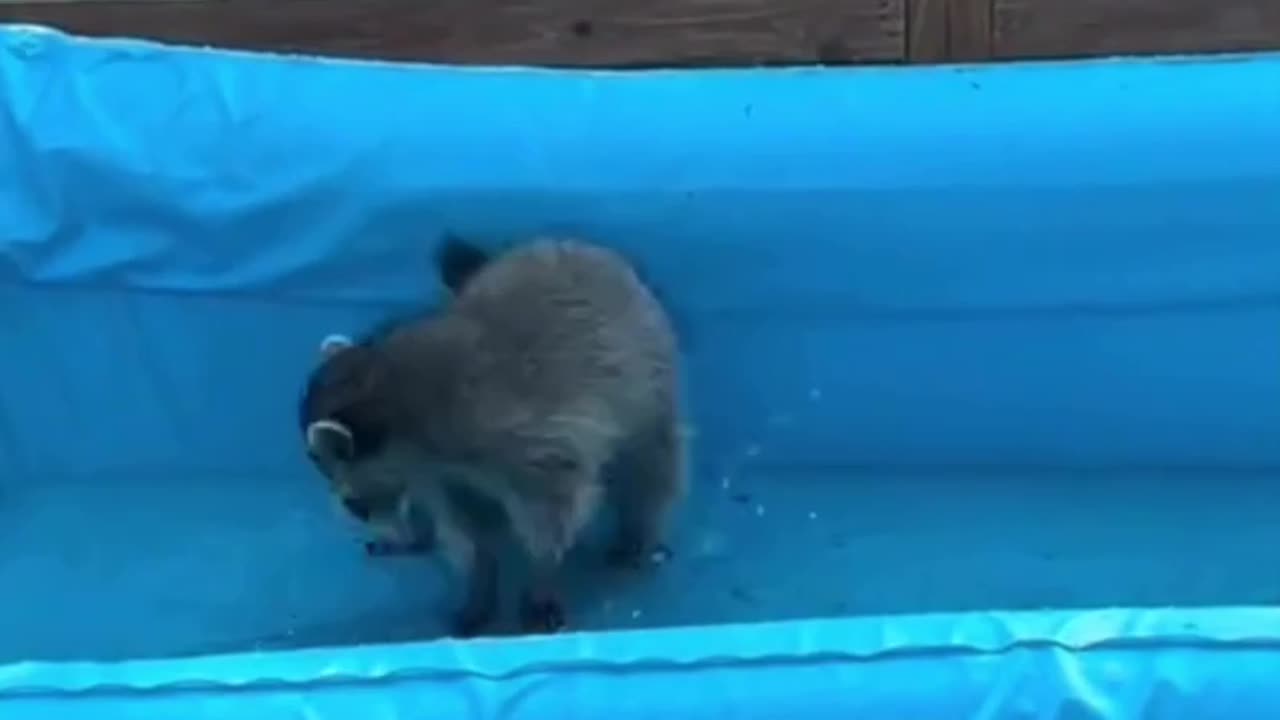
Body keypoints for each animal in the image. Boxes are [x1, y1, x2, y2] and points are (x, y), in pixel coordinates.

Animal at [298, 237, 686, 632]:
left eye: (354, 505)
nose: (380, 527)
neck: (392, 387)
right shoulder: (442, 475)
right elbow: (467, 529)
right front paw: (480, 581)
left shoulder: (520, 439)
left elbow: (553, 513)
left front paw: (541, 576)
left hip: (648, 386)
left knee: (650, 466)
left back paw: (638, 530)